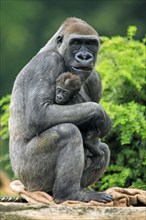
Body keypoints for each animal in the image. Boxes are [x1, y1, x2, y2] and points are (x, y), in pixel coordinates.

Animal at [9, 17, 112, 203]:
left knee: (104, 148)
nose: (84, 56)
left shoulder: (95, 78)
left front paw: (93, 141)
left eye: (91, 44)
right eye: (76, 43)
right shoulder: (48, 62)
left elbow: (92, 135)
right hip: (29, 177)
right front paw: (99, 113)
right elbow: (40, 114)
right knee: (67, 131)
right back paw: (69, 194)